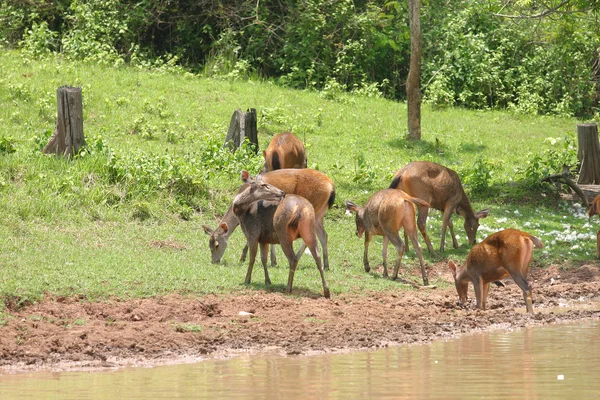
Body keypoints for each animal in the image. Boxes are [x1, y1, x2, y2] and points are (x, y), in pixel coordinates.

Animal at [202, 166, 336, 268]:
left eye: (217, 244)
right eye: (209, 244)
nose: (214, 261)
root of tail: (331, 186)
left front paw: (244, 258)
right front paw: (273, 261)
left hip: (313, 209)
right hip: (319, 213)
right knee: (324, 235)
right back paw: (326, 265)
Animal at [231, 170, 332, 298]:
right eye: (264, 185)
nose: (282, 192)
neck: (243, 213)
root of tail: (300, 208)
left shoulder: (253, 233)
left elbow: (252, 258)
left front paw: (247, 280)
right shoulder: (264, 239)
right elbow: (263, 259)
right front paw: (268, 281)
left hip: (283, 232)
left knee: (293, 259)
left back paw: (288, 288)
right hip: (309, 229)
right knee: (317, 257)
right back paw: (326, 291)